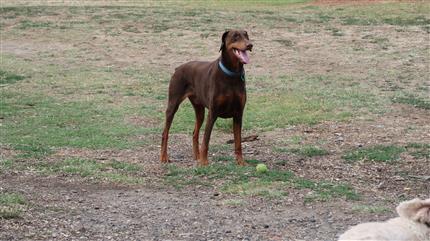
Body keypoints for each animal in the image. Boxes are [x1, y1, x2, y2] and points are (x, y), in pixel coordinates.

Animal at [160, 29, 252, 166]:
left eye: (246, 35)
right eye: (235, 36)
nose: (250, 45)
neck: (231, 74)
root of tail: (178, 68)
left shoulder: (238, 114)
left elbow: (238, 142)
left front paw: (241, 161)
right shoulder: (213, 113)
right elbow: (206, 139)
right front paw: (204, 162)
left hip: (200, 110)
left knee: (195, 133)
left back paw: (196, 156)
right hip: (173, 104)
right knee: (165, 132)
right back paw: (164, 157)